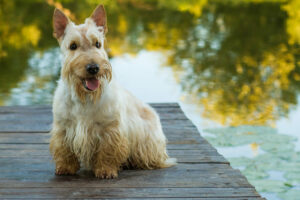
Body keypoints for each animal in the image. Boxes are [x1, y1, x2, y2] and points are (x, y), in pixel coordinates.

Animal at [49, 4, 176, 178]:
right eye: (73, 46)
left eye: (97, 43)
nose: (93, 68)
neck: (85, 97)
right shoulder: (63, 127)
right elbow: (64, 149)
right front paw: (66, 168)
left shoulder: (110, 128)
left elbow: (107, 151)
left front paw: (105, 170)